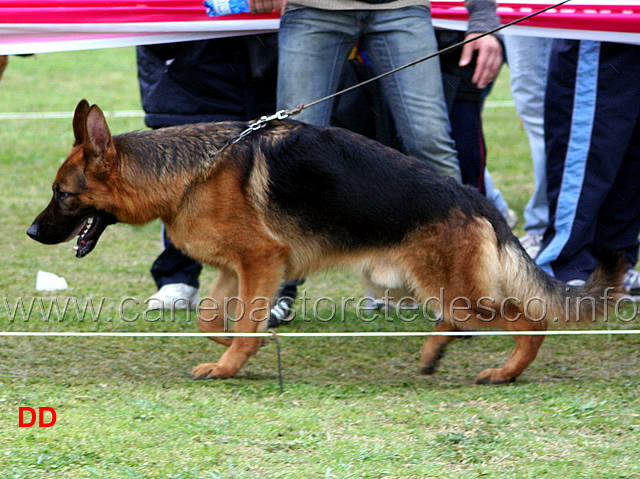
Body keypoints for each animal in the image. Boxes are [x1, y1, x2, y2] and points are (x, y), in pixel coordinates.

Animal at [27, 99, 624, 384]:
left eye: (62, 195)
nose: (31, 232)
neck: (191, 172)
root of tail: (477, 201)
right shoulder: (237, 268)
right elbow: (215, 319)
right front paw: (239, 347)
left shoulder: (261, 260)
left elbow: (241, 322)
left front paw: (231, 364)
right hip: (417, 285)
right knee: (461, 320)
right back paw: (436, 352)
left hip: (450, 290)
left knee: (531, 321)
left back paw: (505, 372)